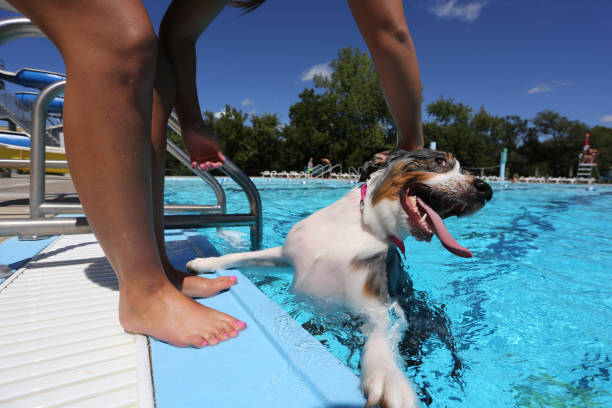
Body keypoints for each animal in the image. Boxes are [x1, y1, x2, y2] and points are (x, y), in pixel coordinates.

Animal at [186, 150, 492, 408]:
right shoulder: (286, 256)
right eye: (440, 161)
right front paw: (205, 262)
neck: (365, 226)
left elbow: (381, 337)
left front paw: (389, 378)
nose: (486, 189)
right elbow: (243, 256)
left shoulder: (378, 304)